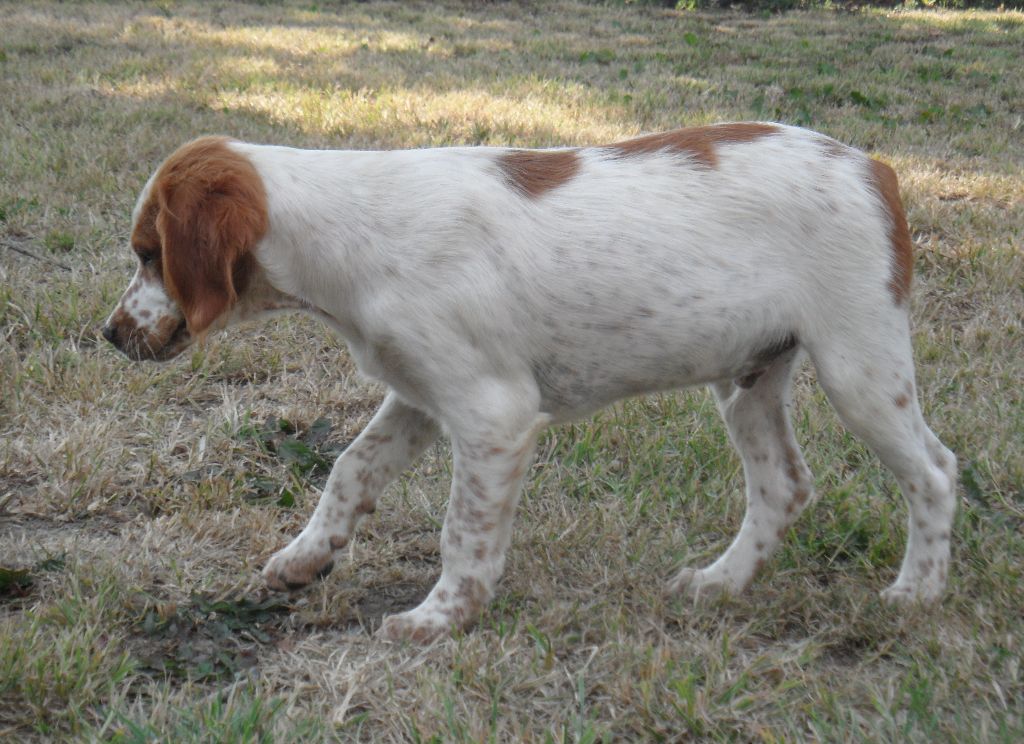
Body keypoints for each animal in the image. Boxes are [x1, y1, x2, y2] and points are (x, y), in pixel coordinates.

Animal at [103, 124, 956, 642]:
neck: (348, 233)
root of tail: (874, 167)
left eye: (149, 253)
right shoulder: (418, 395)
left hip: (859, 364)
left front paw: (439, 617)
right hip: (750, 378)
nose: (109, 335)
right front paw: (306, 556)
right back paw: (721, 582)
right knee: (783, 484)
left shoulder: (493, 416)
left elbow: (463, 530)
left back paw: (918, 594)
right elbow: (349, 469)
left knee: (935, 473)